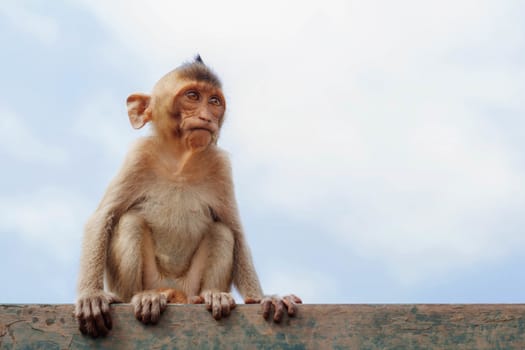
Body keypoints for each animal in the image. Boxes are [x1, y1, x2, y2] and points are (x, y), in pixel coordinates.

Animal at [74, 56, 302, 338]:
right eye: (192, 96)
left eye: (214, 101)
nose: (206, 116)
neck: (179, 160)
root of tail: (175, 290)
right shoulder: (139, 156)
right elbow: (103, 218)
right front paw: (91, 296)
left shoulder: (220, 165)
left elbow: (236, 231)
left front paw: (263, 298)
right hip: (150, 279)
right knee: (129, 222)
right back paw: (147, 296)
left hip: (190, 283)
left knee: (222, 232)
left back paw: (209, 297)